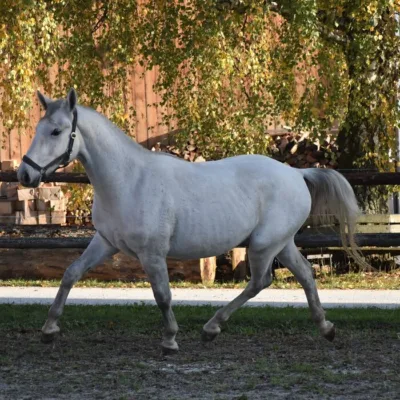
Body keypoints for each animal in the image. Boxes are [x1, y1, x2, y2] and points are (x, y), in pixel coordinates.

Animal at [17, 90, 364, 354]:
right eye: (37, 129)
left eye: (56, 131)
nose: (25, 174)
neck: (128, 180)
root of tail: (296, 173)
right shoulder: (105, 242)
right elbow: (70, 274)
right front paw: (49, 329)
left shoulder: (152, 253)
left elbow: (162, 295)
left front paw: (170, 340)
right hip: (282, 244)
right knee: (304, 274)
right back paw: (325, 327)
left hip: (265, 245)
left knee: (260, 282)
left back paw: (211, 328)